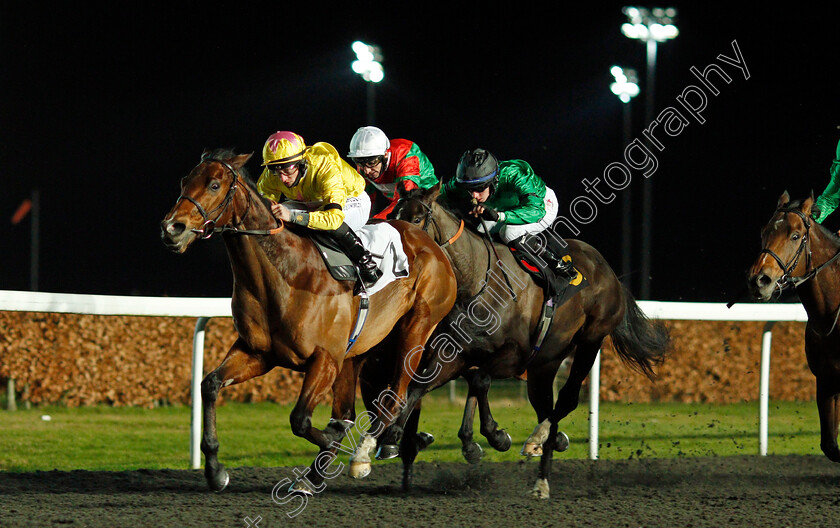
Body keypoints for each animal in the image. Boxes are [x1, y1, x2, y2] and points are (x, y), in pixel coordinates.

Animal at [160, 150, 456, 496]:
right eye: (184, 181)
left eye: (214, 184)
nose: (172, 228)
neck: (284, 274)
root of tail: (431, 245)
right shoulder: (258, 353)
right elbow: (210, 385)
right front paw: (215, 470)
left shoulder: (324, 359)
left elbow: (300, 419)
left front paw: (334, 444)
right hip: (359, 353)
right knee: (354, 408)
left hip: (416, 329)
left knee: (396, 395)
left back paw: (365, 453)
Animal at [352, 186, 672, 500]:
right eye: (391, 216)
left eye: (417, 219)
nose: (392, 259)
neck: (476, 280)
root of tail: (610, 273)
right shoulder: (455, 353)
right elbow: (419, 387)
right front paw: (375, 445)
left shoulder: (513, 357)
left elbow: (479, 380)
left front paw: (495, 436)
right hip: (545, 364)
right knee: (546, 407)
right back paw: (543, 474)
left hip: (590, 341)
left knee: (566, 400)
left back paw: (537, 441)